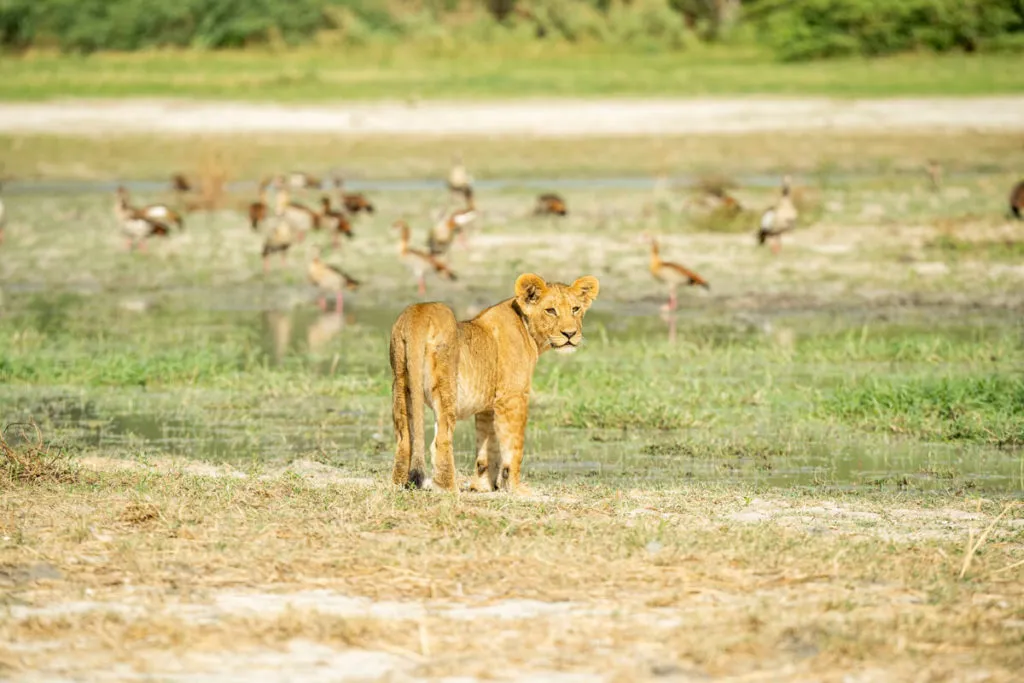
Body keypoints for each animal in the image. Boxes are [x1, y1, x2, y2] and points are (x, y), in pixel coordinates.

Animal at [389, 273, 600, 493]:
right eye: (551, 310)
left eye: (575, 309)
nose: (570, 334)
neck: (528, 330)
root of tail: (418, 314)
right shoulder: (513, 397)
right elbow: (514, 447)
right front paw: (516, 489)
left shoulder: (487, 407)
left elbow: (487, 449)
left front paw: (481, 487)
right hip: (446, 387)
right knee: (441, 439)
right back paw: (448, 488)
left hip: (401, 384)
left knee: (404, 439)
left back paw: (398, 484)